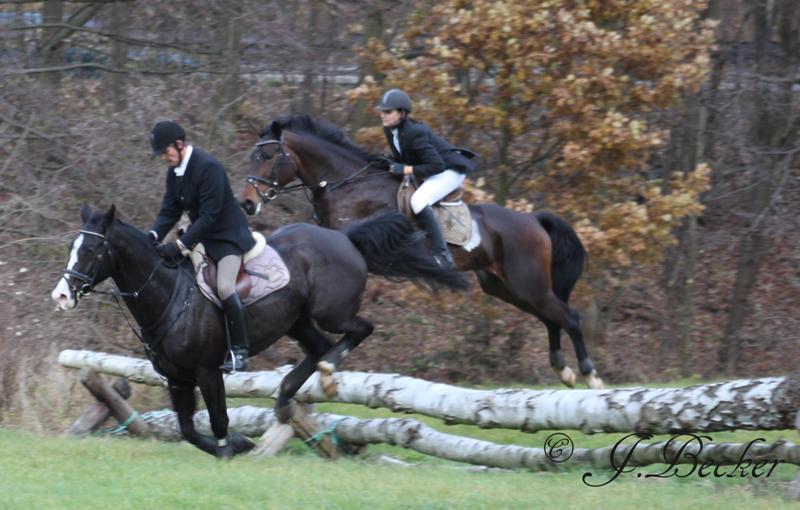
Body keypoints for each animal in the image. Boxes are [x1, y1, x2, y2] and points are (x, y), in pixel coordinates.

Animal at [51, 204, 469, 458]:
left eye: (91, 251)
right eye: (72, 246)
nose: (61, 295)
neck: (169, 294)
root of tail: (344, 238)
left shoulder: (207, 371)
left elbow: (218, 420)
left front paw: (232, 446)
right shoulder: (177, 378)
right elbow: (188, 429)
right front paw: (236, 443)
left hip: (330, 312)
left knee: (357, 331)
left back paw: (325, 376)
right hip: (297, 320)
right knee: (318, 348)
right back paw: (286, 395)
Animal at [239, 115, 603, 389]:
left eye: (268, 157)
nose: (246, 203)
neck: (348, 183)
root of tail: (533, 220)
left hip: (526, 283)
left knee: (568, 317)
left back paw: (589, 374)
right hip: (507, 288)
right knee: (551, 316)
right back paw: (563, 369)